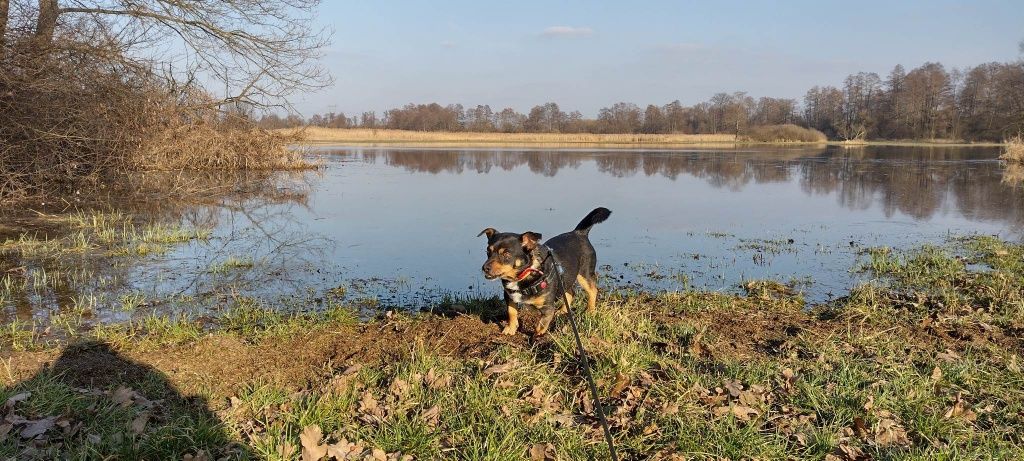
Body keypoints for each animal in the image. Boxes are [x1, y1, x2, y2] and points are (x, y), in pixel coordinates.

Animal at [477, 206, 610, 336]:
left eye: (506, 254)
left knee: (593, 291)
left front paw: (536, 338)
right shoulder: (509, 297)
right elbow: (511, 312)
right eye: (488, 251)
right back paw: (562, 311)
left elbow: (540, 326)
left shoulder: (547, 308)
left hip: (584, 274)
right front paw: (510, 329)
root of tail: (579, 233)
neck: (524, 274)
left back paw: (590, 311)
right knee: (571, 292)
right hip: (566, 278)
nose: (484, 268)